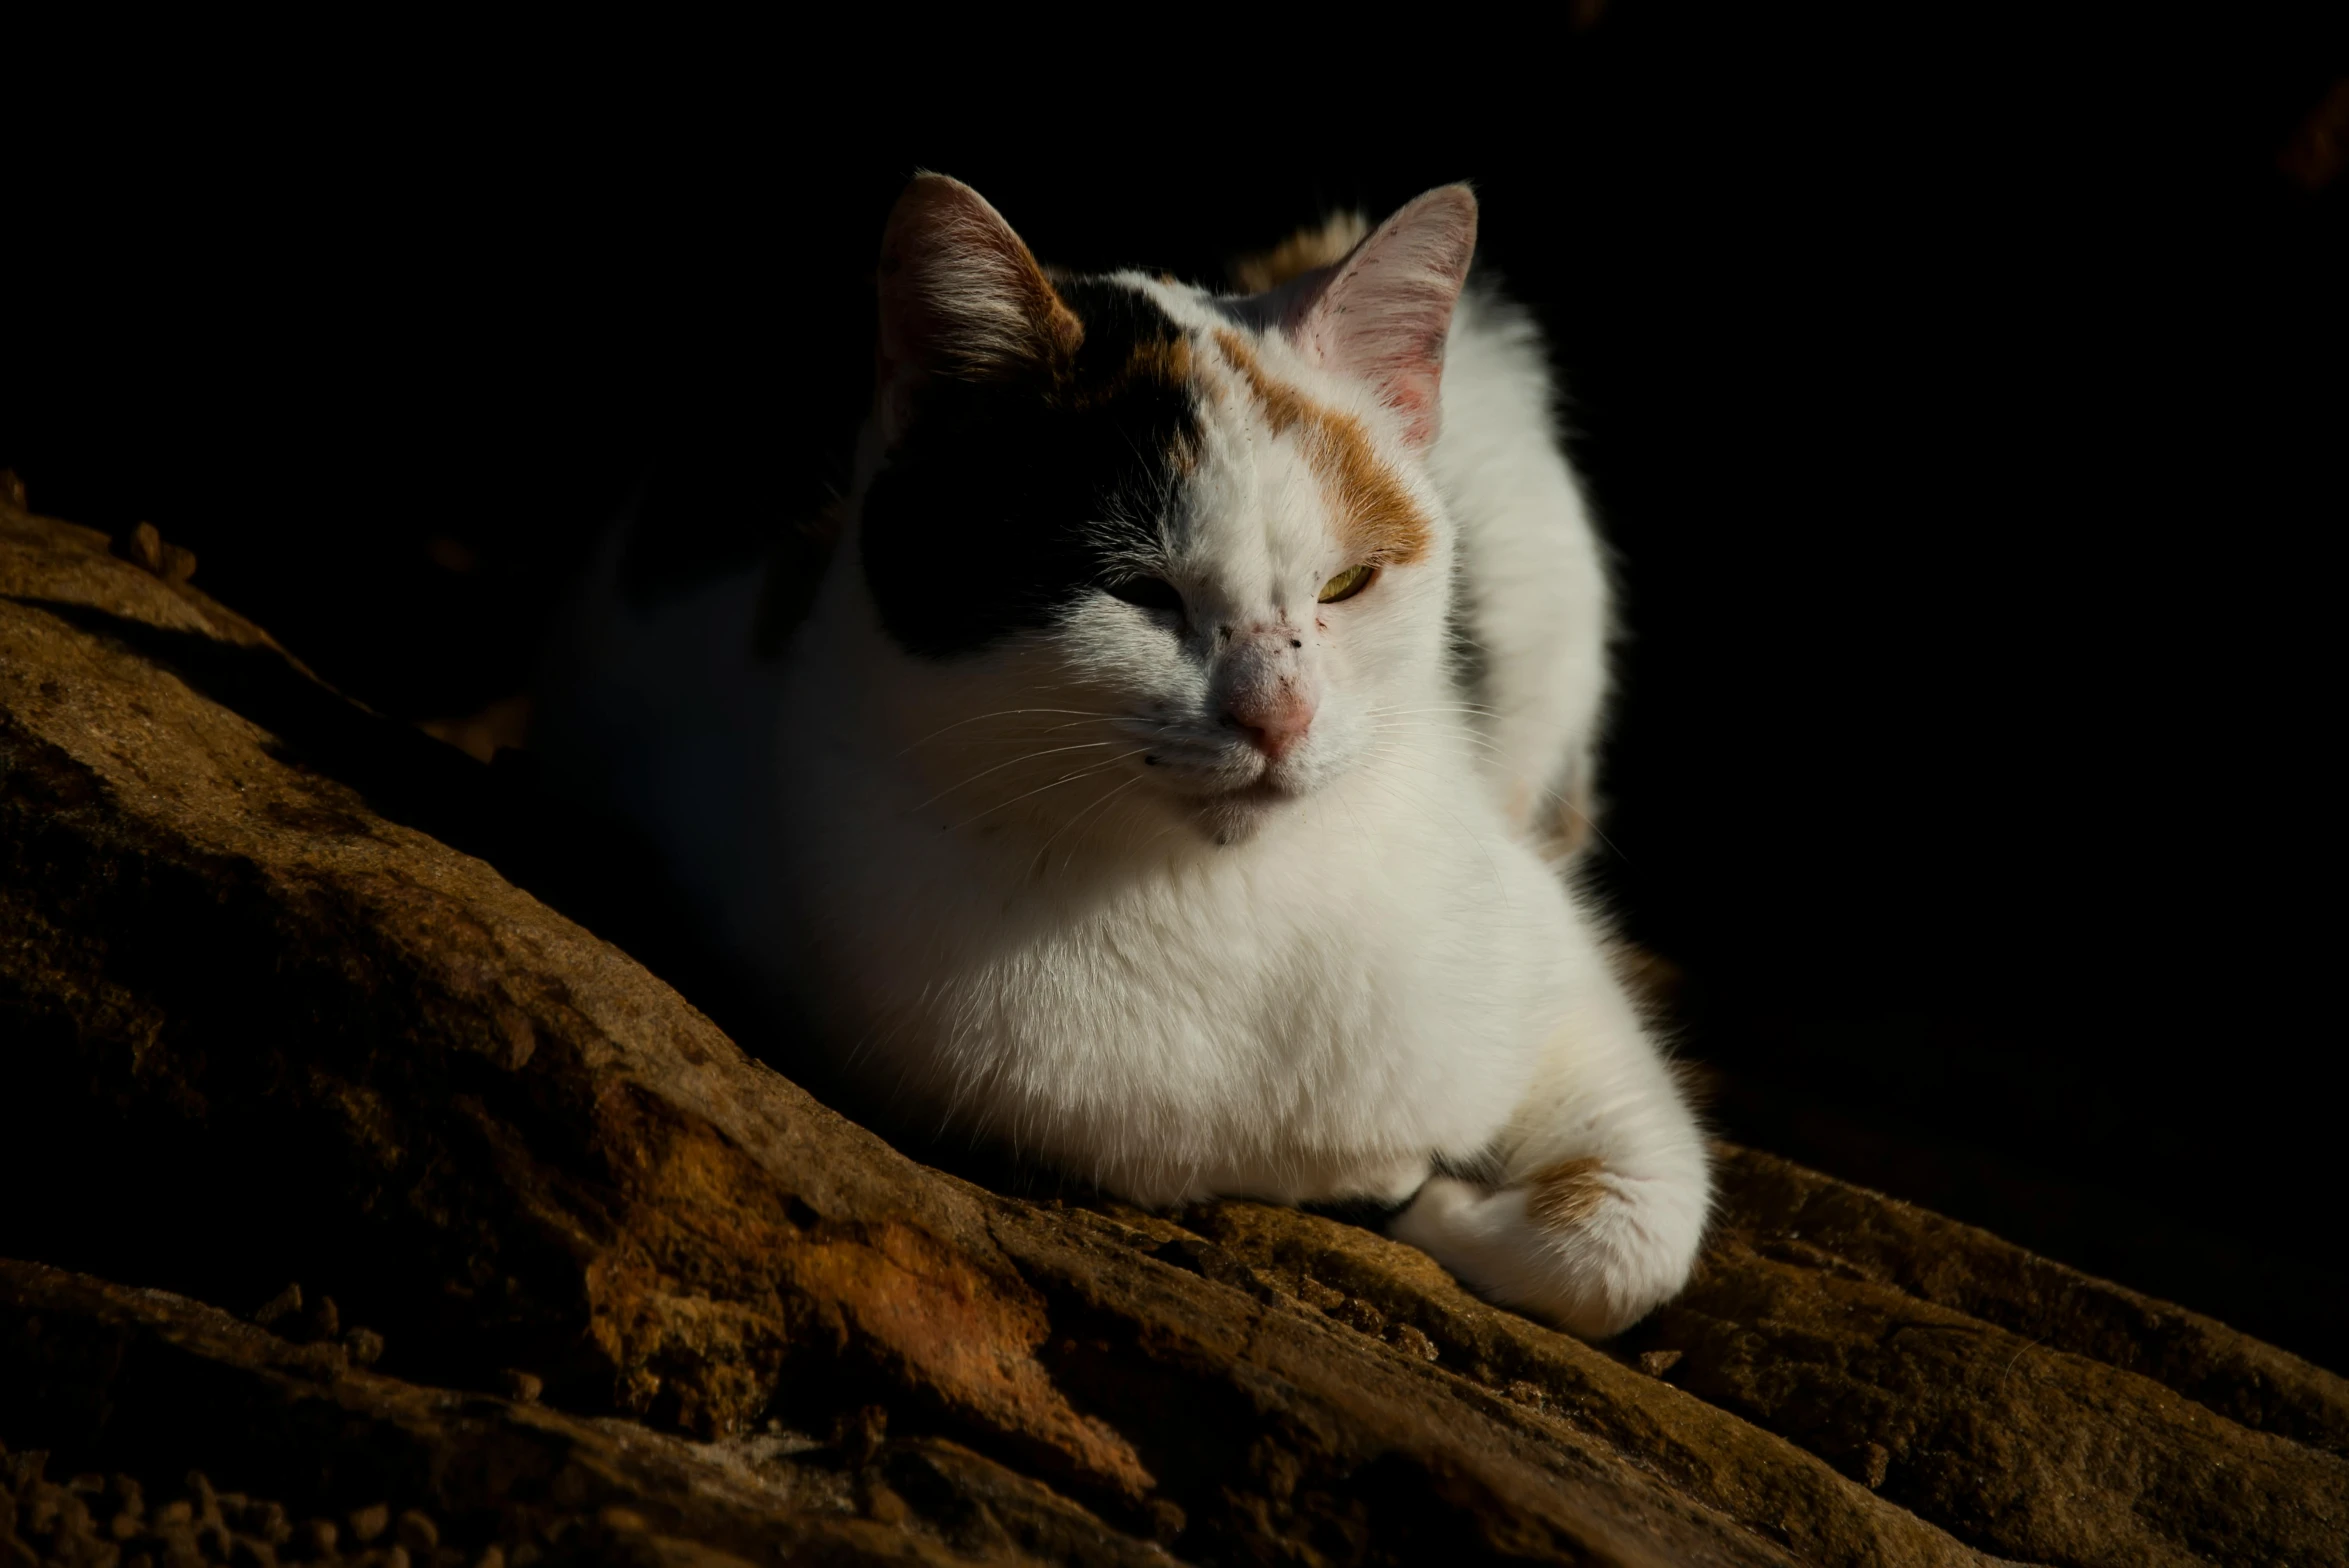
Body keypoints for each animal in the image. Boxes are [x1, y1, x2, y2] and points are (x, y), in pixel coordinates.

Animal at [533, 174, 1710, 1333]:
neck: (1218, 903)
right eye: (1137, 590)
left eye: (1346, 584)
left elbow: (1631, 1242)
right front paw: (1412, 1185)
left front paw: (1447, 1205)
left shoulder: (1548, 967)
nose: (1279, 717)